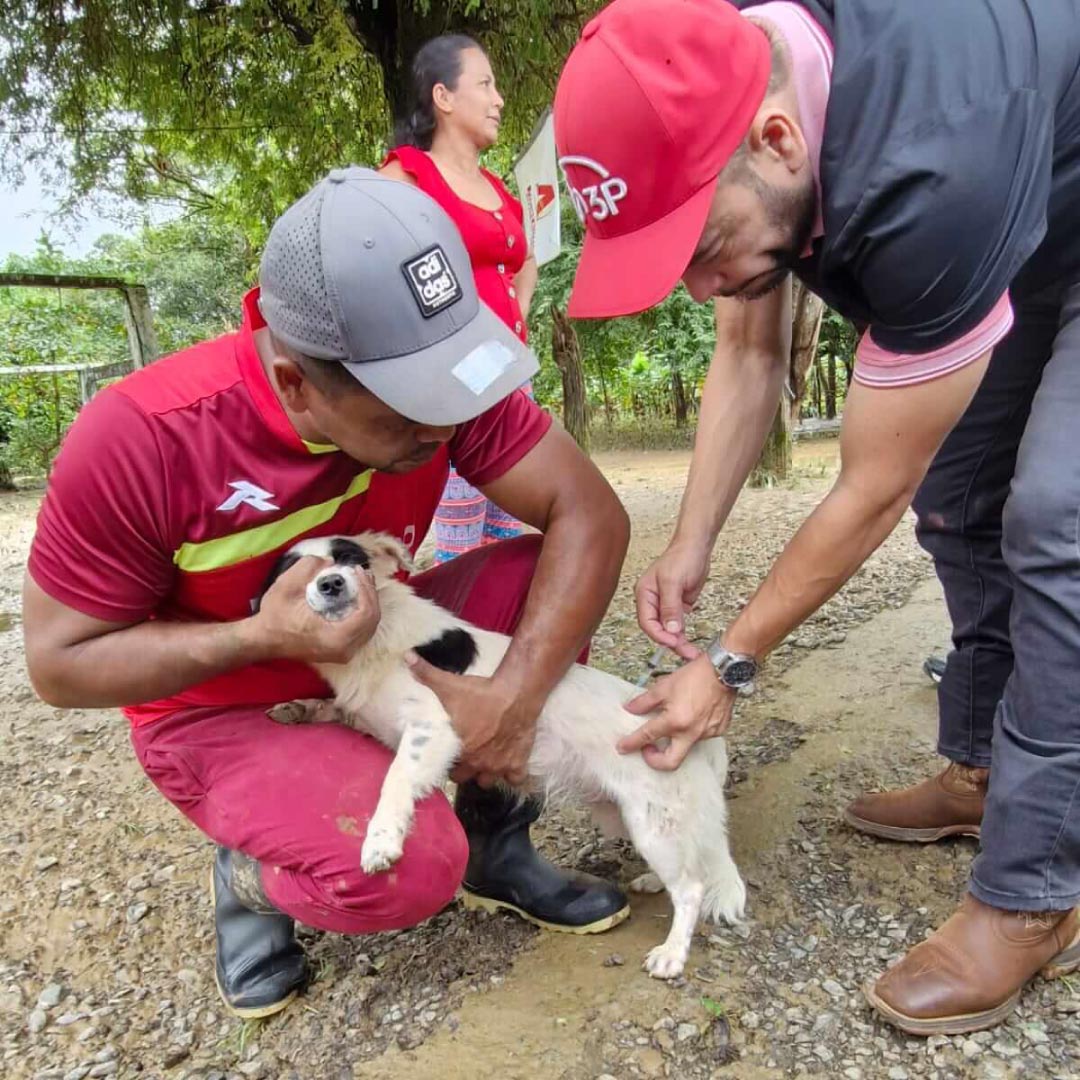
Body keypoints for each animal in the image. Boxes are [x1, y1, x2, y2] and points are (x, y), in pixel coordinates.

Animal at [258, 533, 747, 980]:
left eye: (351, 559)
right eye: (295, 572)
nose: (332, 583)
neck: (374, 643)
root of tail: (698, 739)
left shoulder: (432, 728)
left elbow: (394, 781)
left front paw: (381, 839)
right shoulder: (368, 718)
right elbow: (334, 709)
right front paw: (298, 709)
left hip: (653, 821)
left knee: (692, 887)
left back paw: (672, 953)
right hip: (630, 816)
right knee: (689, 865)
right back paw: (652, 882)